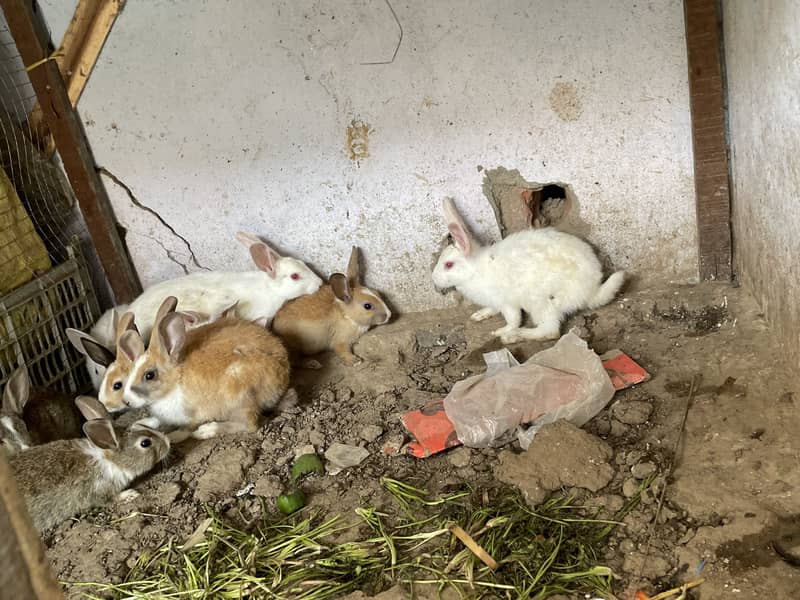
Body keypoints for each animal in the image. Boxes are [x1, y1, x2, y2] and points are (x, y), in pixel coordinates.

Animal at [9, 403, 169, 531]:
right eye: (145, 443)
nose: (167, 442)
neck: (113, 461)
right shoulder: (100, 489)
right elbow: (109, 500)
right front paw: (130, 494)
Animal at [118, 296, 292, 440]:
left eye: (149, 375)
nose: (126, 401)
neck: (175, 381)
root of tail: (283, 377)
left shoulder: (193, 415)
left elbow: (185, 430)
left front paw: (172, 437)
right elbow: (156, 421)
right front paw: (138, 425)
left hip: (239, 394)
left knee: (250, 424)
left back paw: (206, 431)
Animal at [431, 197, 625, 344]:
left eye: (448, 265)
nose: (434, 278)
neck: (475, 271)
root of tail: (591, 291)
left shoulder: (507, 303)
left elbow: (513, 320)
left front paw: (501, 331)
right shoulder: (495, 303)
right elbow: (492, 309)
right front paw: (479, 315)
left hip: (542, 304)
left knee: (550, 331)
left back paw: (515, 336)